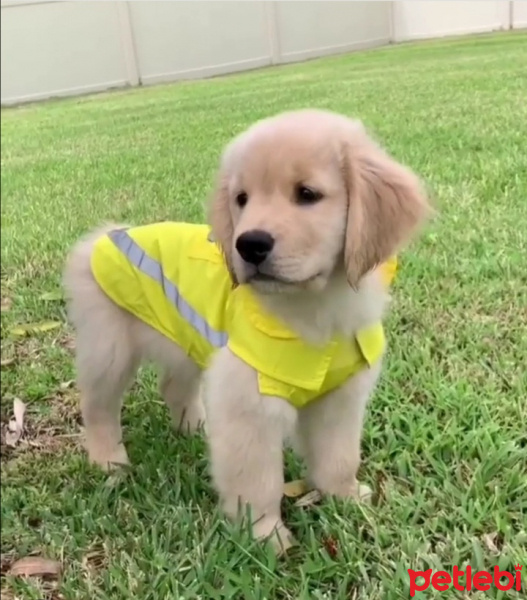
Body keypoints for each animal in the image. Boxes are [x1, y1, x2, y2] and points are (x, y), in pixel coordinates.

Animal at [64, 109, 432, 552]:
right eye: (242, 199)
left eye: (307, 194)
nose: (249, 245)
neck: (314, 310)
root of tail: (103, 237)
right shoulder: (250, 403)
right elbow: (257, 480)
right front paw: (266, 537)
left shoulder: (341, 397)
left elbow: (340, 456)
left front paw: (345, 497)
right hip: (110, 347)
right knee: (98, 404)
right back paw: (108, 459)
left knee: (174, 386)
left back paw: (196, 428)